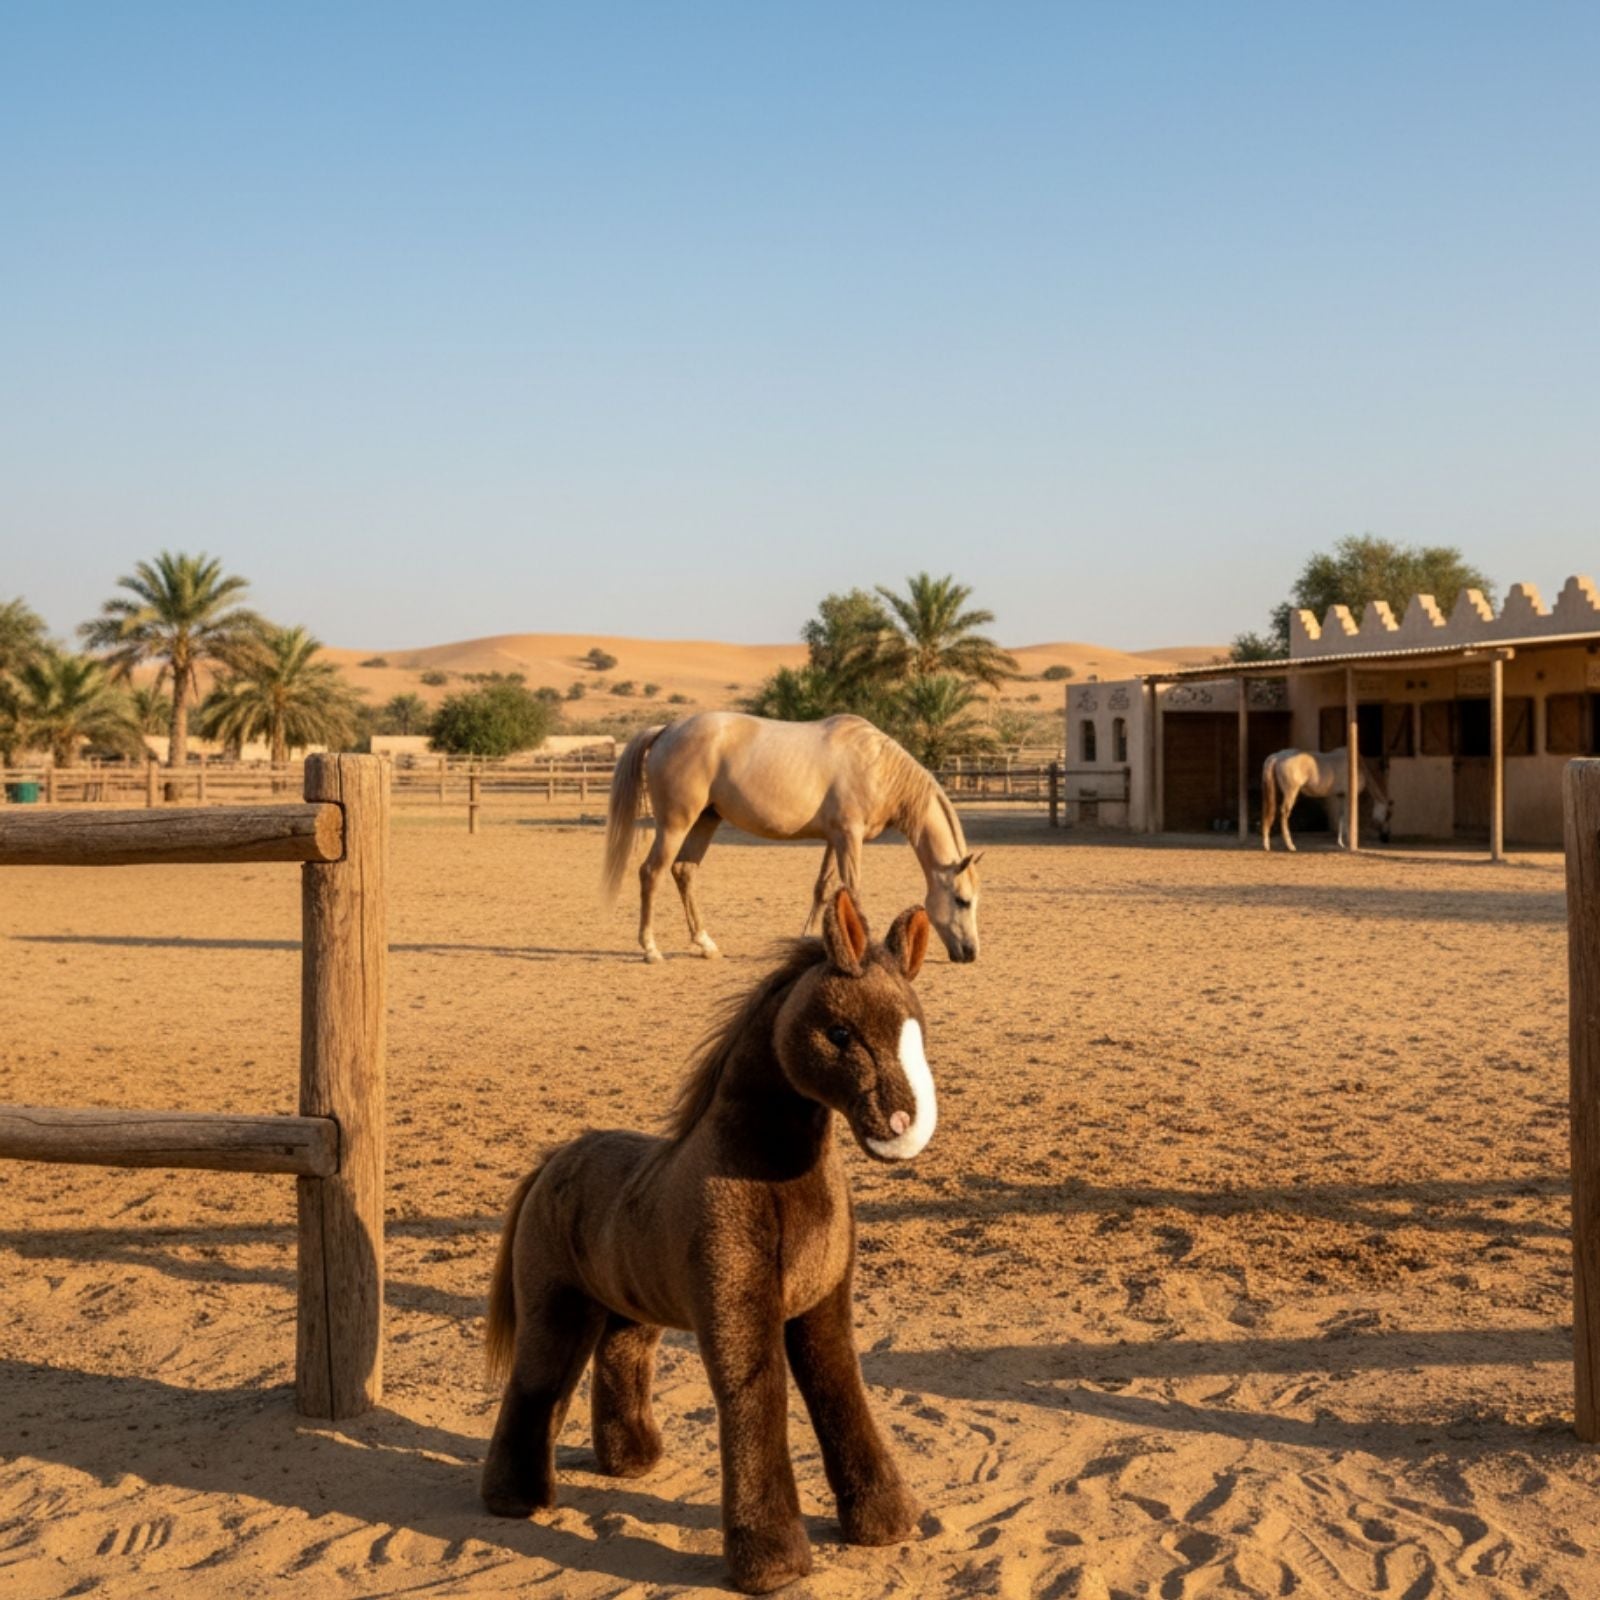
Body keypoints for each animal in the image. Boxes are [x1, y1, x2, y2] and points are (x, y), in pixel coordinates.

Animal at [481, 889, 933, 1594]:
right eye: (840, 1033)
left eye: (917, 1030)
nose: (902, 1126)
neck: (772, 1175)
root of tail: (555, 1158)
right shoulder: (737, 1305)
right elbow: (756, 1396)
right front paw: (771, 1560)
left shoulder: (822, 1304)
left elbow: (840, 1389)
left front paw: (884, 1522)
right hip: (554, 1306)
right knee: (536, 1381)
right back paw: (516, 1499)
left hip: (629, 1309)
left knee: (620, 1358)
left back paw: (631, 1462)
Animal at [603, 711, 982, 964]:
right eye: (962, 900)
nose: (970, 953)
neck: (878, 766)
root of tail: (666, 729)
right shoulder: (850, 837)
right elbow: (853, 891)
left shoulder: (835, 839)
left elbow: (823, 888)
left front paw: (811, 938)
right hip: (675, 824)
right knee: (651, 872)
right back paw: (650, 949)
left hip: (705, 821)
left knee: (683, 872)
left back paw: (705, 944)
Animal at [1260, 747, 1393, 852]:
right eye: (1388, 815)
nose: (1385, 838)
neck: (1357, 766)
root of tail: (1278, 756)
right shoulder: (1348, 796)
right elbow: (1348, 817)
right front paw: (1348, 841)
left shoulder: (1341, 796)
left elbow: (1341, 817)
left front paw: (1341, 843)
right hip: (1291, 792)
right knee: (1284, 813)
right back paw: (1290, 846)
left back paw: (1266, 845)